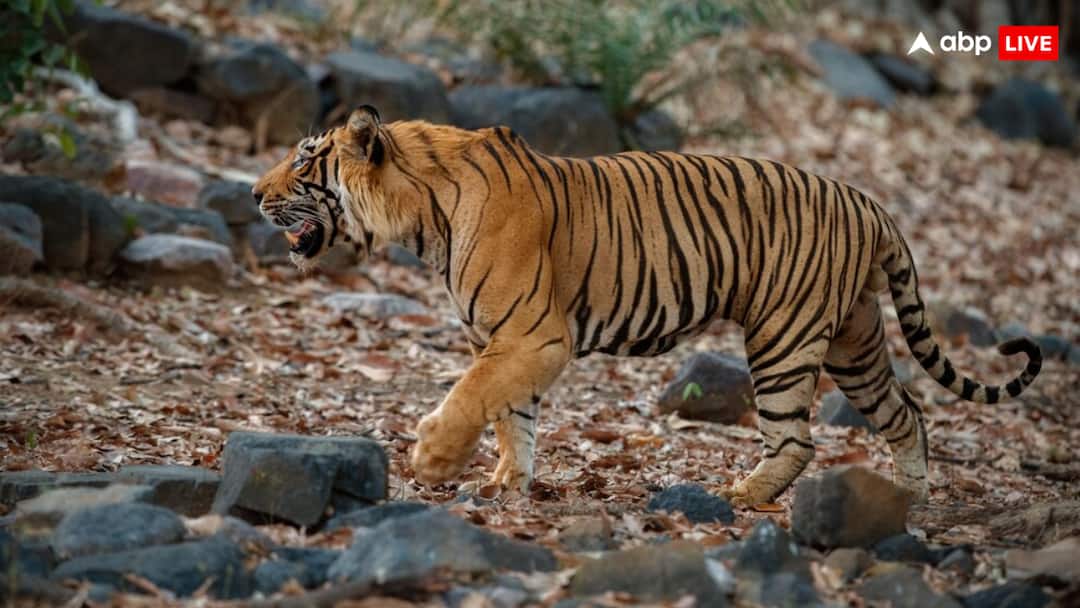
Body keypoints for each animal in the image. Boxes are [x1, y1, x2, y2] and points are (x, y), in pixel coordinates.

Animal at [252, 105, 1042, 507]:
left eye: (304, 160)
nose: (255, 194)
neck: (423, 219)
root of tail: (871, 203)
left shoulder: (533, 336)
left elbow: (474, 395)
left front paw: (435, 459)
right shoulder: (504, 340)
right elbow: (512, 413)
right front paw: (510, 480)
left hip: (784, 338)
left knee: (796, 438)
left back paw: (741, 494)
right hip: (855, 342)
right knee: (906, 416)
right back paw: (909, 503)